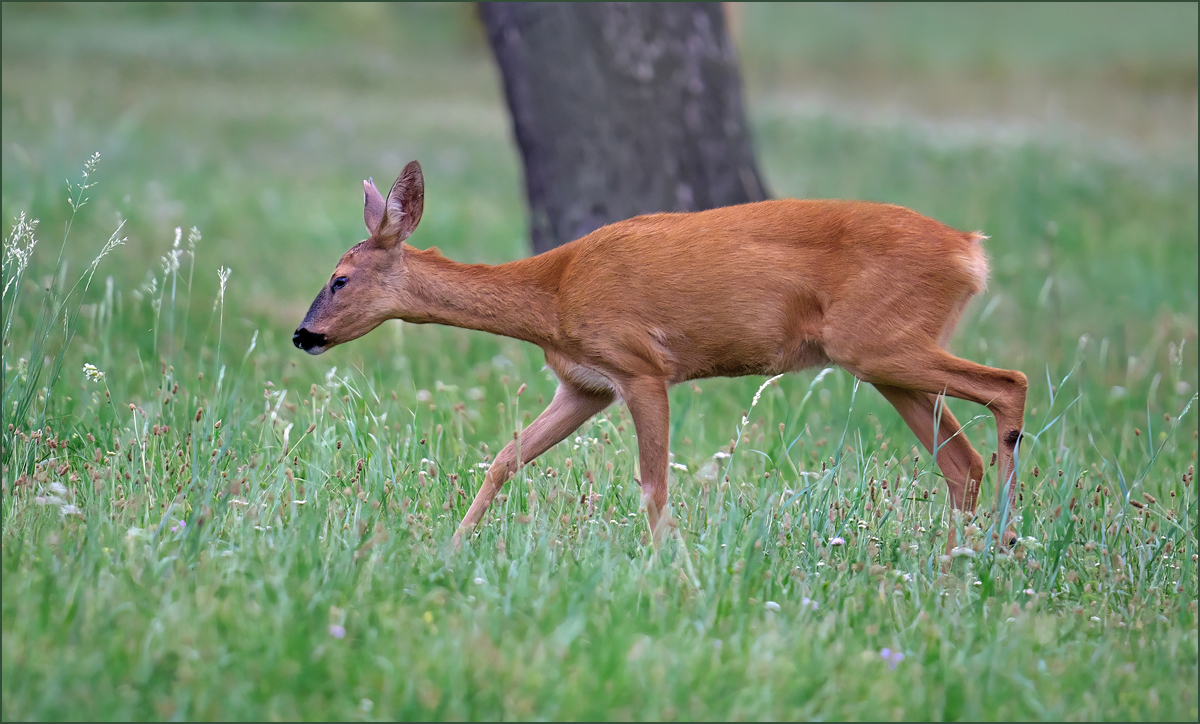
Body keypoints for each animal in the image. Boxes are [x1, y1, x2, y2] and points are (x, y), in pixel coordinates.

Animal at [295, 160, 1027, 547]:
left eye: (340, 278)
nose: (304, 335)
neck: (552, 296)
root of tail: (970, 251)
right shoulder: (584, 384)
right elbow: (504, 458)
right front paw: (453, 546)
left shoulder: (641, 366)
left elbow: (653, 482)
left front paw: (664, 565)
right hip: (883, 358)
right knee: (962, 462)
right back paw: (953, 563)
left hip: (879, 342)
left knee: (1009, 383)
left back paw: (1001, 544)